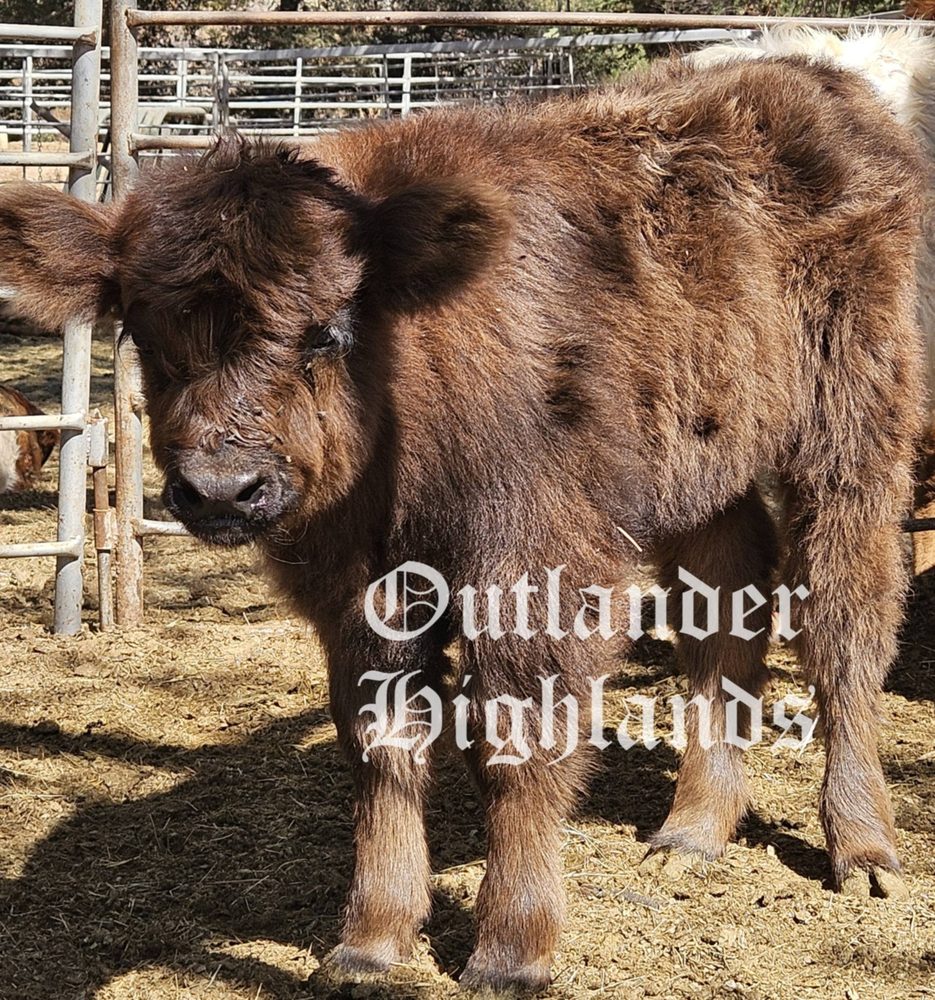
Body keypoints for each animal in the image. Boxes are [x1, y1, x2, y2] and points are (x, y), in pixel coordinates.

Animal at [0, 56, 924, 993]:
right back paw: (690, 833)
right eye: (146, 333)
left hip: (849, 432)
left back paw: (862, 849)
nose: (222, 491)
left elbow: (515, 736)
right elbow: (382, 740)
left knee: (845, 617)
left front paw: (511, 950)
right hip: (701, 465)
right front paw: (371, 939)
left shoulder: (529, 569)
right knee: (725, 599)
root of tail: (816, 79)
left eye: (327, 332)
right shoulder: (359, 590)